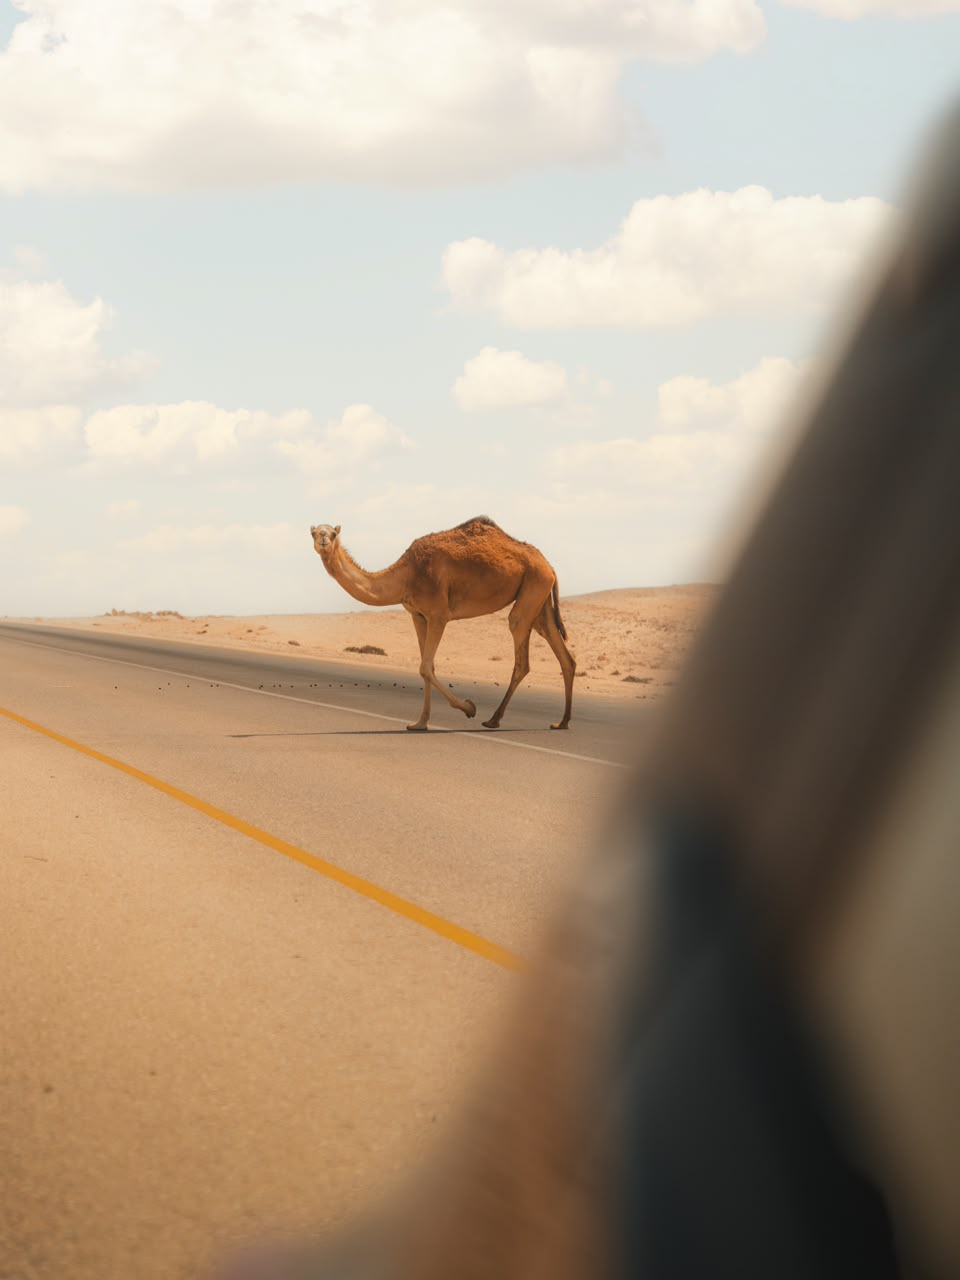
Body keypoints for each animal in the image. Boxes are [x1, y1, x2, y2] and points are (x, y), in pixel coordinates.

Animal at [310, 516, 576, 731]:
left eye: (333, 533)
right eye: (313, 532)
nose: (323, 539)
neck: (407, 575)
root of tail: (550, 566)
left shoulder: (439, 614)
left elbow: (425, 668)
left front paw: (469, 707)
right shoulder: (418, 616)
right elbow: (428, 668)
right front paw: (420, 723)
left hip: (533, 587)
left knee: (521, 651)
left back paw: (493, 719)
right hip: (540, 599)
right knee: (565, 657)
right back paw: (561, 722)